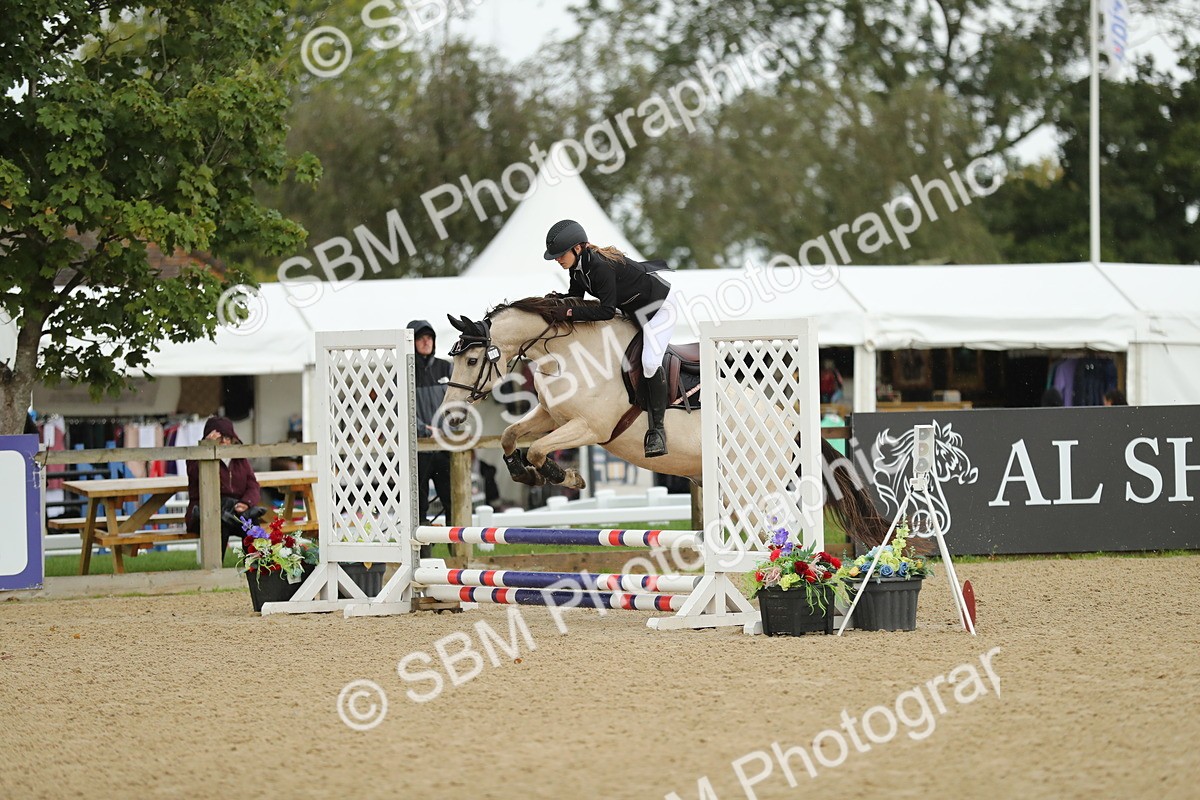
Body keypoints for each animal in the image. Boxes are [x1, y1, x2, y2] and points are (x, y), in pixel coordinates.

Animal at [439, 295, 890, 548]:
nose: (452, 415)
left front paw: (563, 476)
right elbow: (512, 435)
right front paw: (525, 472)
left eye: (473, 360)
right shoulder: (551, 415)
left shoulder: (591, 427)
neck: (570, 353)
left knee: (774, 533)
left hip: (753, 489)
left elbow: (536, 448)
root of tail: (792, 425)